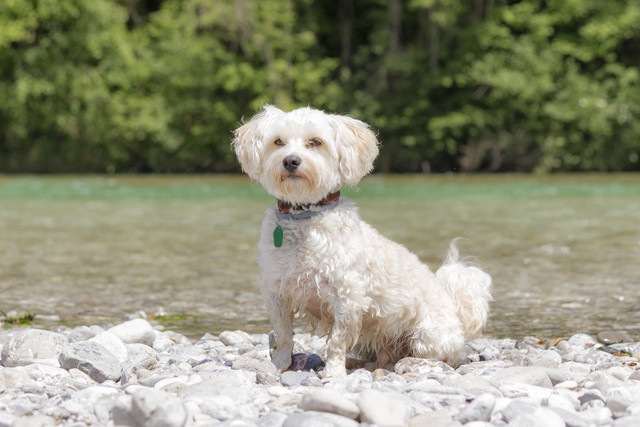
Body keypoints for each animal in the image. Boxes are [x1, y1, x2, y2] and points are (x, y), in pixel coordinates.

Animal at [232, 106, 492, 378]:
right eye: (278, 141)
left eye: (315, 142)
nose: (291, 160)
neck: (304, 214)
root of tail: (454, 311)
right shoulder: (276, 292)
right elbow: (283, 335)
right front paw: (278, 365)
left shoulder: (347, 297)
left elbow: (337, 341)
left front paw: (333, 373)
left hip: (427, 337)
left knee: (445, 356)